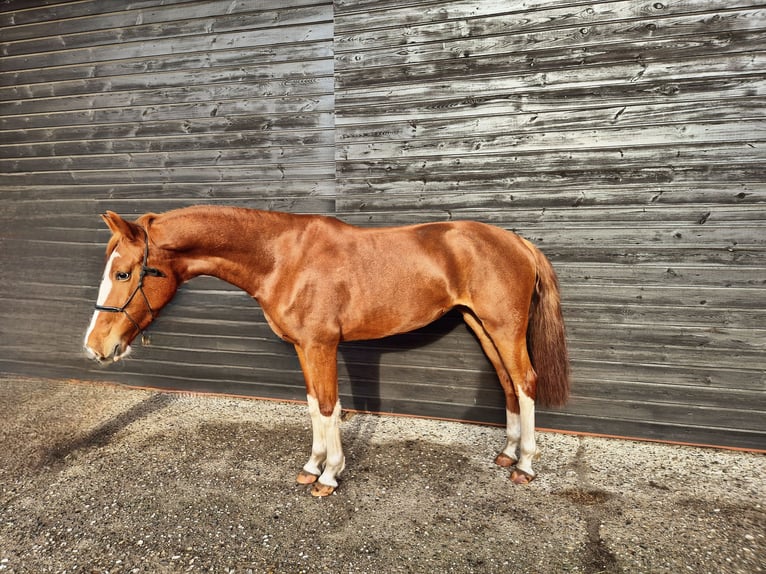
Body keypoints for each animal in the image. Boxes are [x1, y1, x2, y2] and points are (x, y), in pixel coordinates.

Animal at [84, 206, 570, 496]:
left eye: (123, 274)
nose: (95, 347)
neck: (282, 259)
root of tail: (517, 241)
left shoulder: (321, 345)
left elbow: (329, 406)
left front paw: (330, 476)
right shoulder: (305, 347)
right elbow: (314, 404)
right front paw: (312, 466)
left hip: (505, 327)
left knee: (526, 382)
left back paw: (525, 465)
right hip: (481, 325)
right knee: (507, 383)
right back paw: (508, 452)